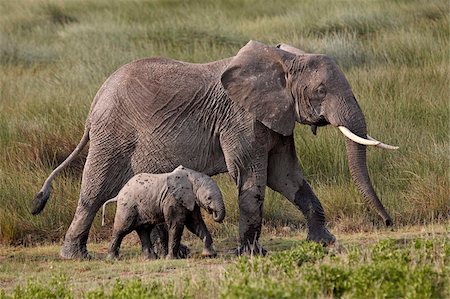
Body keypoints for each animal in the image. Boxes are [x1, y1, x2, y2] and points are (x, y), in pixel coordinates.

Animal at [32, 40, 398, 260]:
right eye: (321, 90)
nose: (389, 222)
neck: (285, 58)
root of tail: (95, 101)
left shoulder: (276, 117)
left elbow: (287, 177)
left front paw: (324, 241)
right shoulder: (241, 118)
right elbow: (253, 178)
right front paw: (250, 254)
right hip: (112, 136)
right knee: (95, 190)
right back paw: (75, 256)